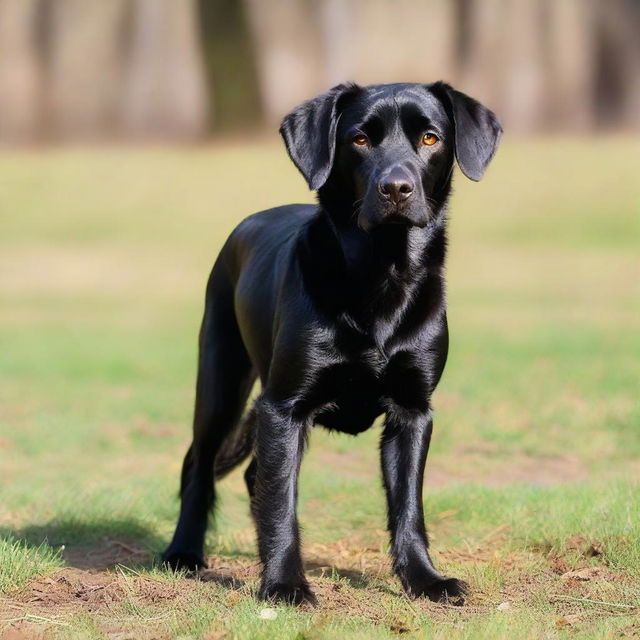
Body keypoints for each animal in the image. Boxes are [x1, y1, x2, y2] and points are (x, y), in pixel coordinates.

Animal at [162, 81, 502, 604]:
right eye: (360, 139)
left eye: (430, 138)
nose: (396, 188)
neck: (382, 275)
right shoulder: (283, 406)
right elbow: (281, 501)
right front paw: (284, 585)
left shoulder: (413, 411)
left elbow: (408, 506)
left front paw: (425, 579)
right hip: (221, 381)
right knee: (201, 465)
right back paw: (184, 552)